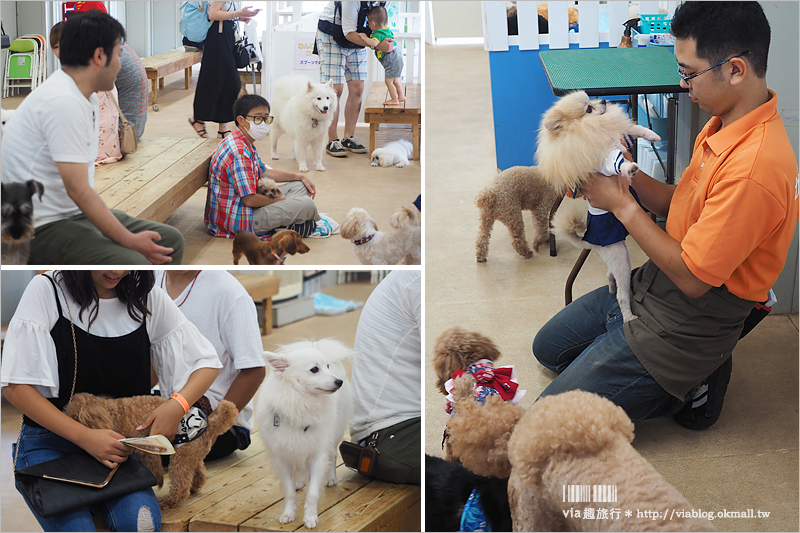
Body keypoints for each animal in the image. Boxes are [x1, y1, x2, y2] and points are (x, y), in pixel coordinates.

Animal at [256, 338, 354, 528]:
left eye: (327, 366)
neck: (301, 401)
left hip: (334, 434)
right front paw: (288, 514)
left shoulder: (317, 455)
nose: (339, 381)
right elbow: (289, 492)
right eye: (314, 369)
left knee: (333, 455)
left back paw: (331, 478)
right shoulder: (283, 458)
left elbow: (312, 493)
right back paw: (300, 482)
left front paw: (310, 517)